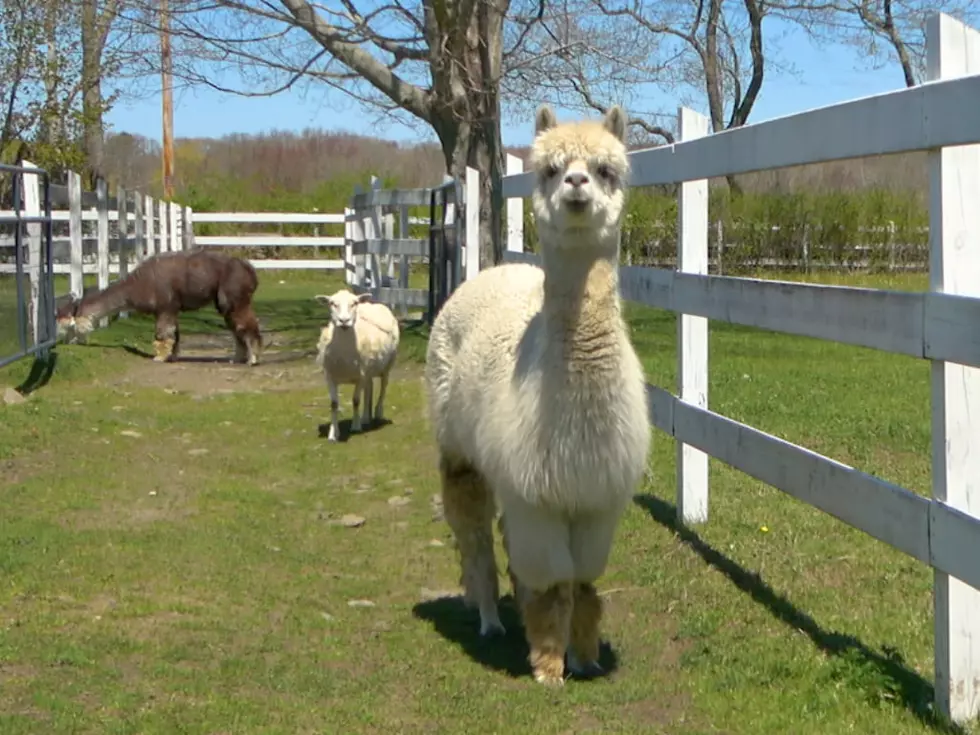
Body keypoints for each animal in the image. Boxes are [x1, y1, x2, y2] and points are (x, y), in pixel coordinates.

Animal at [318, 290, 402, 442]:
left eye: (354, 303)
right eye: (332, 303)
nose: (344, 321)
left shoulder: (360, 377)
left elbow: (356, 401)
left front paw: (355, 426)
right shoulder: (330, 377)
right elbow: (334, 404)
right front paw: (333, 433)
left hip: (387, 365)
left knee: (383, 387)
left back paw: (377, 412)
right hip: (368, 370)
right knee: (369, 388)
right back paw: (366, 417)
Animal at [424, 105, 648, 688]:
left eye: (605, 169)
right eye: (550, 169)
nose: (576, 184)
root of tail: (499, 268)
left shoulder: (595, 498)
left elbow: (584, 583)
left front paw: (585, 655)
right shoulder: (536, 494)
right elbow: (554, 584)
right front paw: (549, 665)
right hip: (458, 447)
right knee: (475, 536)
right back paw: (488, 619)